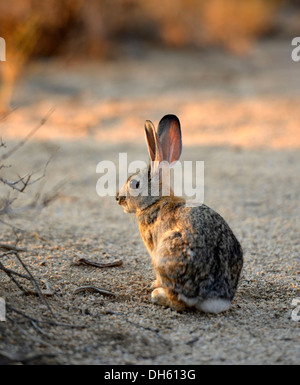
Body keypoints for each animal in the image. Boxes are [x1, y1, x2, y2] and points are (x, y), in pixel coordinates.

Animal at [115, 114, 244, 312]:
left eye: (135, 184)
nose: (118, 198)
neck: (156, 200)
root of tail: (215, 299)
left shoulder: (153, 249)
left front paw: (154, 284)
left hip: (166, 255)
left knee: (179, 302)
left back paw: (157, 295)